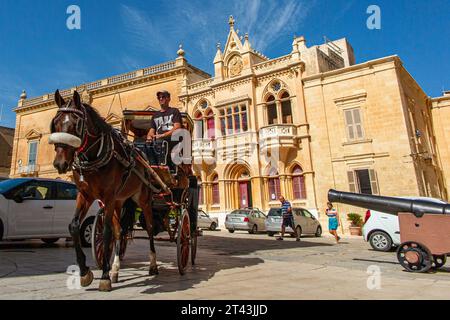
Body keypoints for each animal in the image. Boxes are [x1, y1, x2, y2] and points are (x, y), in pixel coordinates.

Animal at [48, 89, 160, 290]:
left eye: (76, 124)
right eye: (55, 123)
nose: (60, 164)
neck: (93, 156)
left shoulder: (108, 197)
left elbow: (106, 231)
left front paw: (105, 276)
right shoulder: (85, 195)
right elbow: (74, 226)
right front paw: (85, 272)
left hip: (143, 200)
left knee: (149, 228)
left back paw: (153, 265)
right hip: (120, 201)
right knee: (120, 232)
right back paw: (116, 269)